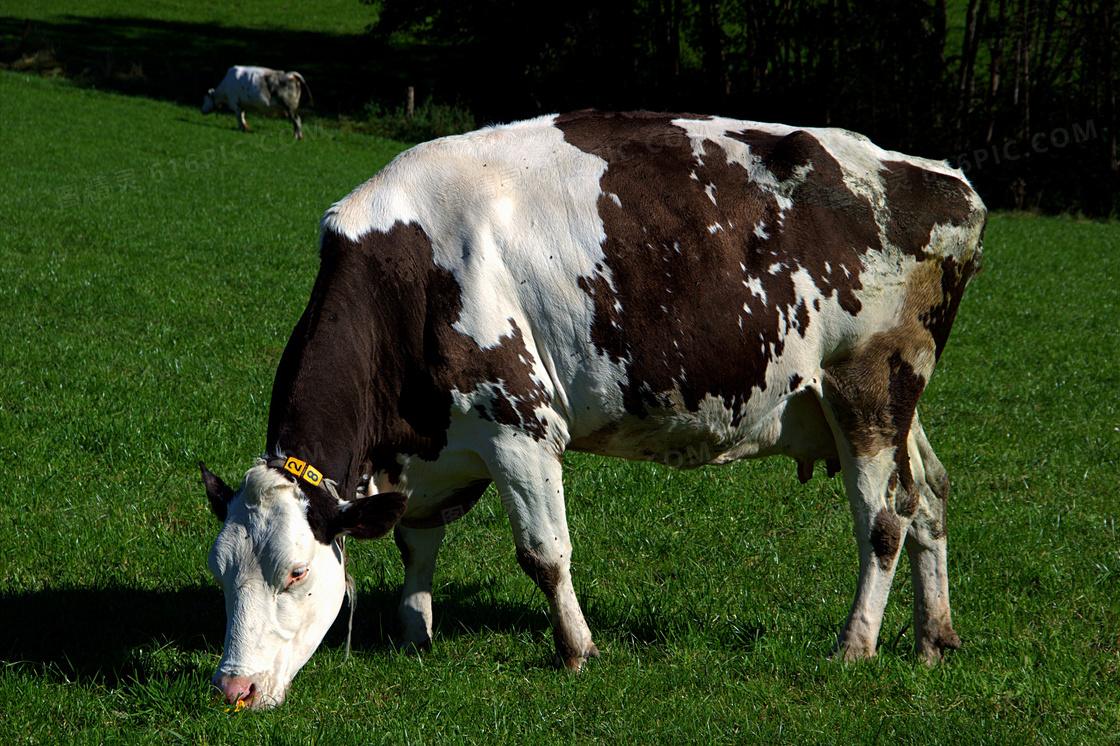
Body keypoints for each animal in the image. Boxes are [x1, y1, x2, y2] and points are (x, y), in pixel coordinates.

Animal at [199, 107, 981, 707]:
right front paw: (415, 634)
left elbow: (544, 553)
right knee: (929, 496)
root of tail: (942, 178)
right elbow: (416, 541)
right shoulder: (432, 448)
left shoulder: (520, 427)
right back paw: (933, 638)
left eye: (296, 573)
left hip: (869, 387)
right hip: (890, 403)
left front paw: (577, 650)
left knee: (883, 521)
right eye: (220, 573)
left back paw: (857, 645)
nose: (233, 689)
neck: (406, 274)